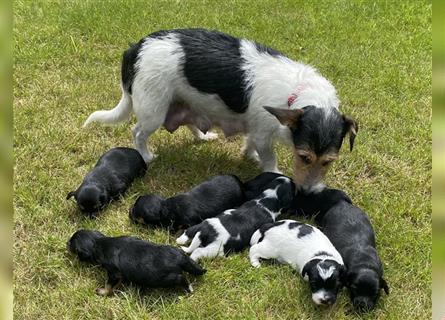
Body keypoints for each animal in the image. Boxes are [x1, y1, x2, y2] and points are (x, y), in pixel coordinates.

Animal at [67, 230, 206, 296]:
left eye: (71, 243)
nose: (66, 243)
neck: (99, 242)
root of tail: (180, 257)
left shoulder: (113, 273)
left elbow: (108, 285)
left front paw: (102, 292)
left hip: (167, 278)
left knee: (182, 278)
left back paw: (188, 288)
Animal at [81, 28, 356, 189]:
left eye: (328, 162)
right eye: (304, 157)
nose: (308, 192)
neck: (297, 92)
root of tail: (135, 48)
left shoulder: (256, 129)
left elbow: (250, 143)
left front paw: (250, 155)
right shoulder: (264, 134)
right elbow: (269, 157)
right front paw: (273, 171)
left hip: (183, 102)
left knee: (190, 122)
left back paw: (203, 137)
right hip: (153, 111)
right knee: (137, 132)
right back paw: (146, 156)